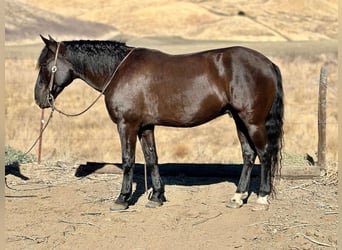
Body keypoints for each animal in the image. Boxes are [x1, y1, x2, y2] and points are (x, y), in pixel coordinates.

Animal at [34, 35, 284, 211]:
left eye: (44, 65)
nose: (39, 99)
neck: (119, 70)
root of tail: (268, 63)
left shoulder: (127, 125)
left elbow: (128, 160)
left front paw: (122, 199)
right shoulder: (145, 127)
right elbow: (151, 159)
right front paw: (156, 196)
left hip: (253, 122)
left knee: (264, 154)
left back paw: (262, 198)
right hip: (239, 121)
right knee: (248, 155)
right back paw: (237, 197)